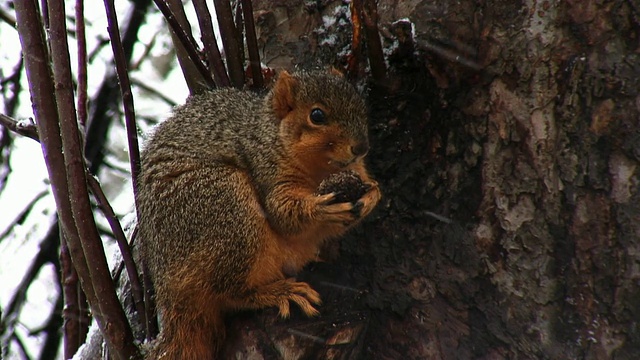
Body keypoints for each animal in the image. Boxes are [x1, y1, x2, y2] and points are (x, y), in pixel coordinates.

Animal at [136, 69, 380, 358]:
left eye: (360, 104)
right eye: (317, 115)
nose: (362, 147)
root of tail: (167, 291)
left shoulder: (356, 170)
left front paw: (373, 195)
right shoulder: (267, 168)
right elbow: (283, 215)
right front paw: (321, 208)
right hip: (227, 208)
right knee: (230, 294)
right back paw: (278, 292)